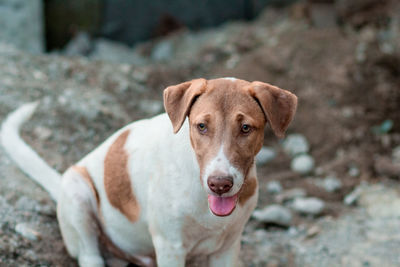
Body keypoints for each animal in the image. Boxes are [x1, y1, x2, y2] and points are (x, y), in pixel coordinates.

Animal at [0, 78, 296, 267]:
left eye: (246, 128)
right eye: (201, 126)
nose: (220, 184)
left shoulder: (227, 248)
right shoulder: (170, 245)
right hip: (77, 190)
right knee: (89, 255)